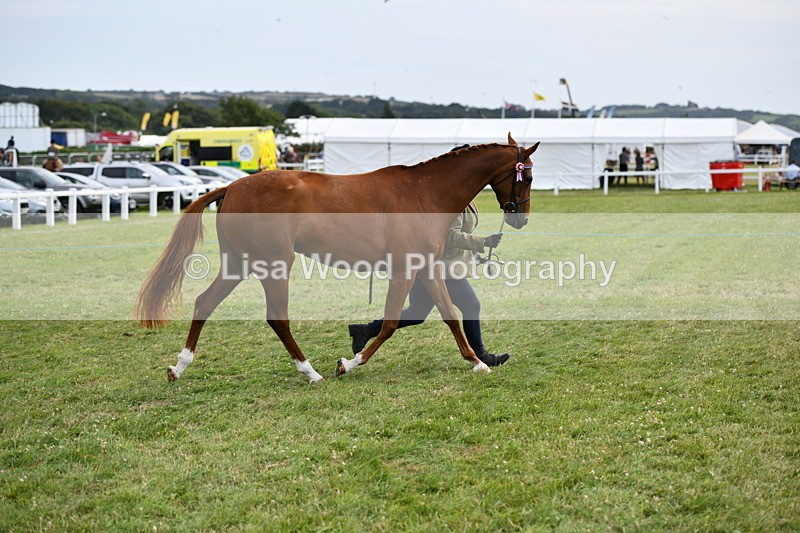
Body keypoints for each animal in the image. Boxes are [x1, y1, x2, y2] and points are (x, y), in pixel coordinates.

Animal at [135, 134, 539, 384]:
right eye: (529, 176)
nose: (520, 218)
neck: (424, 193)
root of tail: (232, 186)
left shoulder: (425, 267)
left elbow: (450, 314)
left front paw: (478, 363)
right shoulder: (404, 268)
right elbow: (391, 322)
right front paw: (349, 363)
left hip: (238, 263)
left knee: (204, 303)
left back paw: (179, 367)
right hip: (272, 265)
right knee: (276, 318)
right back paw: (310, 372)